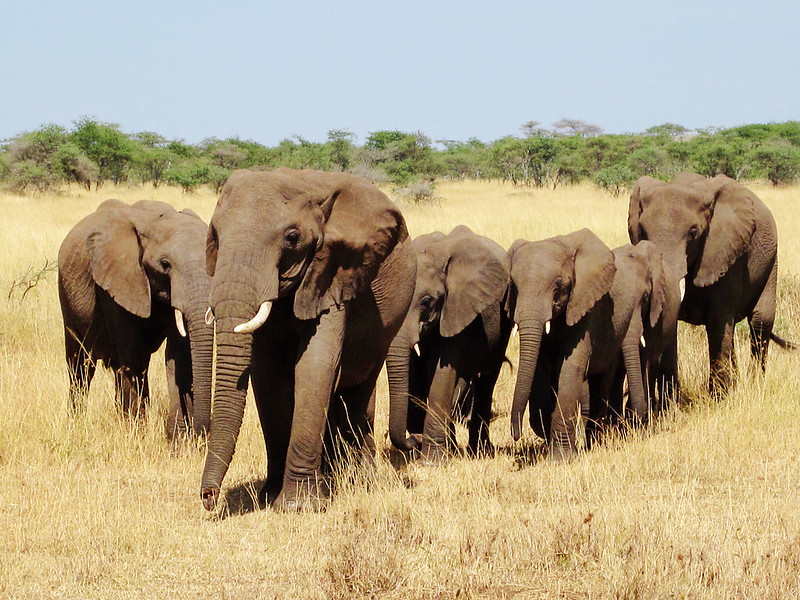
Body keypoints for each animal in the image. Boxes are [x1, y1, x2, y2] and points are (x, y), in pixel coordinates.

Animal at [58, 199, 214, 438]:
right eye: (165, 264)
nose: (203, 432)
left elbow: (177, 356)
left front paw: (176, 439)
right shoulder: (117, 282)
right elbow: (132, 354)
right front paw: (136, 434)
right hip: (66, 297)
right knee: (80, 367)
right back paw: (77, 423)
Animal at [200, 168, 416, 510]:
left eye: (292, 238)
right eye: (215, 235)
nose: (208, 497)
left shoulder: (333, 273)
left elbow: (315, 368)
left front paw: (297, 506)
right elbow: (268, 378)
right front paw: (270, 496)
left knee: (357, 391)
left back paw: (356, 479)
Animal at [506, 227, 676, 462]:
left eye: (558, 285)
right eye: (514, 286)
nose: (515, 434)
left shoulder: (587, 305)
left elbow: (570, 368)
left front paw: (560, 460)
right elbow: (540, 365)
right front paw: (544, 430)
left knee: (602, 381)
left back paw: (594, 442)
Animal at [624, 172, 780, 394]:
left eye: (693, 232)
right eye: (643, 231)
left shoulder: (725, 253)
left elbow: (717, 322)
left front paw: (719, 398)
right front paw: (670, 400)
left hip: (771, 259)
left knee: (760, 320)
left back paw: (753, 385)